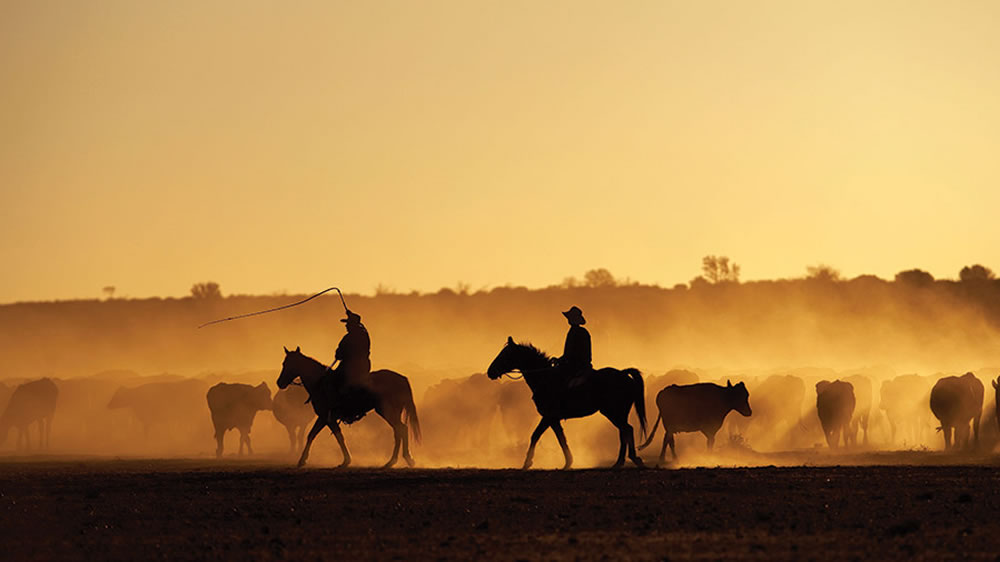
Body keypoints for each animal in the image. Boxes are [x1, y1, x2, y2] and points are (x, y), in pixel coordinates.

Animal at [278, 346, 422, 468]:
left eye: (287, 364)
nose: (279, 383)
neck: (320, 383)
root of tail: (402, 378)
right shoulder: (326, 418)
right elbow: (319, 435)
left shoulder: (326, 417)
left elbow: (329, 436)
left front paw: (345, 460)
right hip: (393, 412)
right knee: (400, 430)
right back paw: (398, 460)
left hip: (386, 411)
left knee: (400, 429)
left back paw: (400, 460)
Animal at [486, 336, 648, 468]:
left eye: (504, 354)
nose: (490, 372)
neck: (544, 378)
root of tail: (623, 373)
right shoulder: (553, 419)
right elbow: (561, 438)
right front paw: (568, 462)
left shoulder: (549, 416)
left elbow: (536, 435)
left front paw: (527, 463)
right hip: (619, 413)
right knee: (624, 431)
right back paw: (621, 461)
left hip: (612, 412)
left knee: (627, 430)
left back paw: (629, 460)